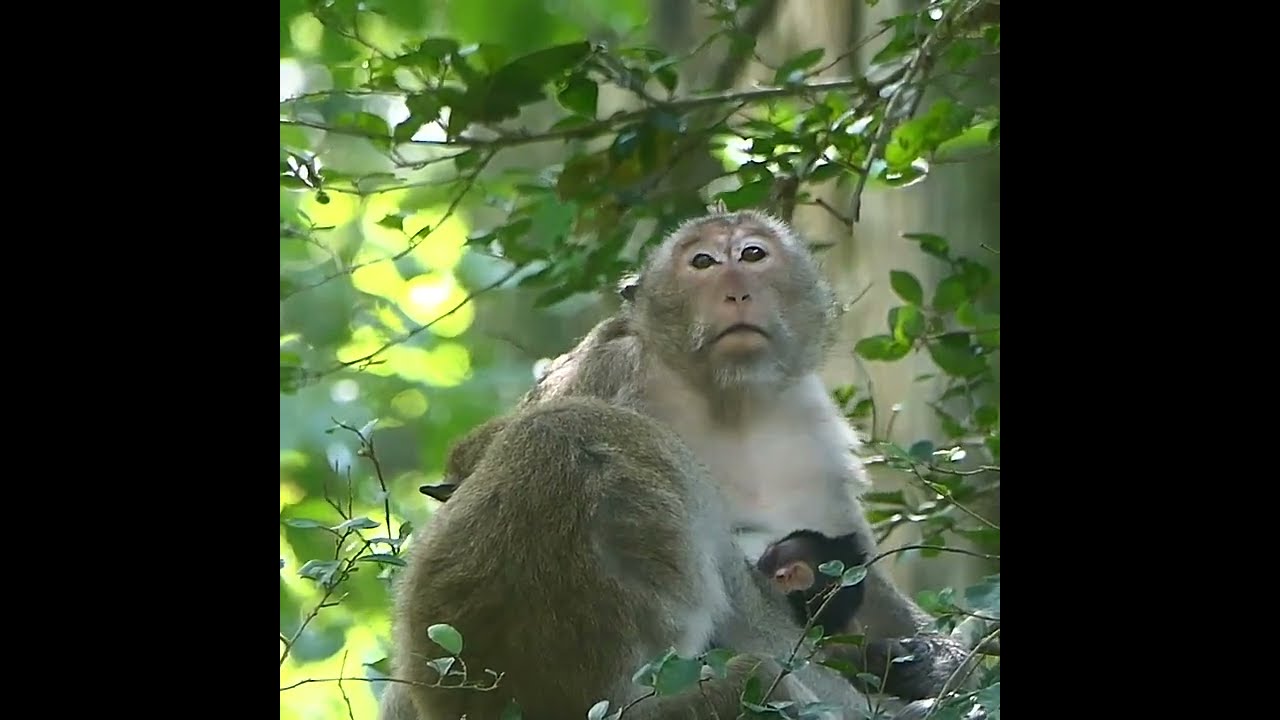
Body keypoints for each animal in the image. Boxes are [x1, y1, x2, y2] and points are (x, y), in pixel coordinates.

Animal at [515, 208, 977, 703]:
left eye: (753, 254)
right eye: (703, 262)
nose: (737, 291)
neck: (729, 398)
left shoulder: (812, 427)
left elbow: (852, 562)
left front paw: (939, 664)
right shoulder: (606, 374)